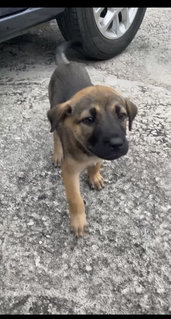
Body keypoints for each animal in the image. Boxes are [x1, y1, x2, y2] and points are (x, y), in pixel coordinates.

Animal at [47, 40, 138, 238]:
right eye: (89, 120)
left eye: (122, 115)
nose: (117, 144)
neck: (86, 150)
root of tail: (67, 63)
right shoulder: (69, 171)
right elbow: (75, 198)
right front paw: (78, 221)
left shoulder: (100, 155)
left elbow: (96, 164)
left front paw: (94, 176)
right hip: (53, 110)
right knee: (55, 134)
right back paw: (57, 153)